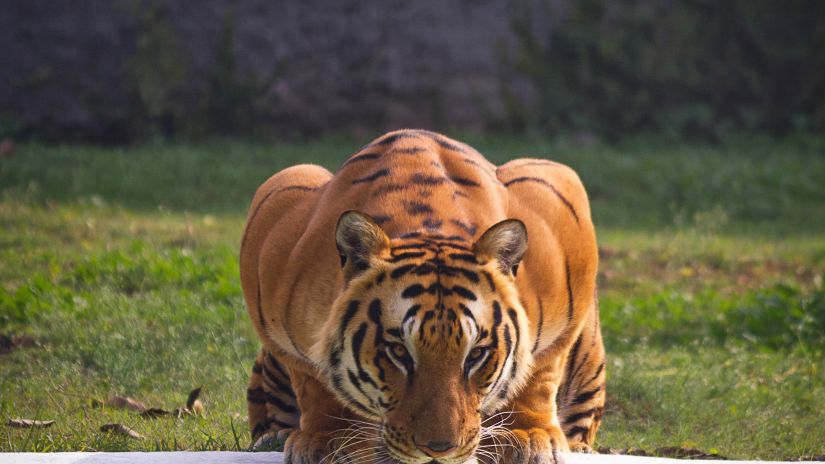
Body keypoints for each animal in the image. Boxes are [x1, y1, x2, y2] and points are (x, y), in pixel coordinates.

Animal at [240, 130, 604, 464]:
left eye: (476, 355)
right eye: (399, 352)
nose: (438, 450)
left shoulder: (561, 202)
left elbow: (539, 372)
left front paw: (527, 436)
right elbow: (313, 380)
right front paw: (328, 440)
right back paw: (274, 436)